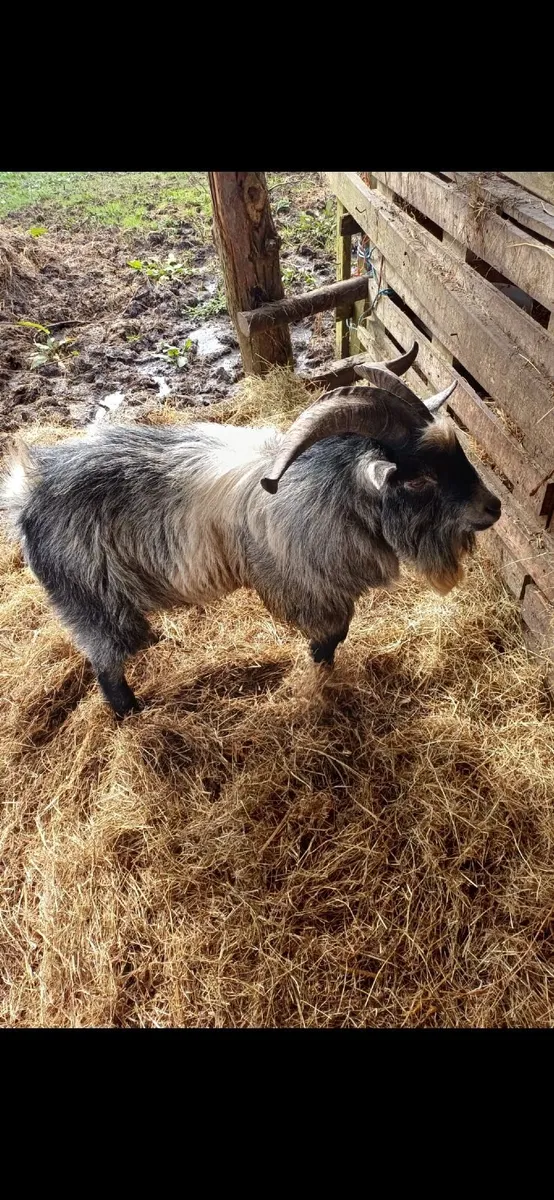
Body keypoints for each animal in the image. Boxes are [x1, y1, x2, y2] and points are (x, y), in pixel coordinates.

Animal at [1, 342, 501, 717]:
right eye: (419, 479)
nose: (493, 508)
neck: (332, 491)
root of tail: (30, 492)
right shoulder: (311, 589)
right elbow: (329, 639)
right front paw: (320, 682)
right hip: (93, 603)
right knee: (106, 668)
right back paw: (134, 717)